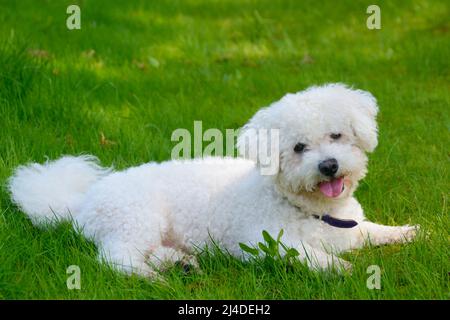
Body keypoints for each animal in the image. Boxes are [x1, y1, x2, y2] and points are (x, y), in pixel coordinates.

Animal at [7, 83, 418, 278]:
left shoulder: (351, 229)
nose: (329, 166)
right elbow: (304, 254)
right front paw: (338, 268)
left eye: (336, 136)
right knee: (116, 258)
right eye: (299, 148)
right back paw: (152, 277)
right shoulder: (262, 241)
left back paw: (179, 263)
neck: (310, 210)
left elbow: (372, 230)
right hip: (136, 218)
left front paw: (407, 232)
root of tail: (83, 201)